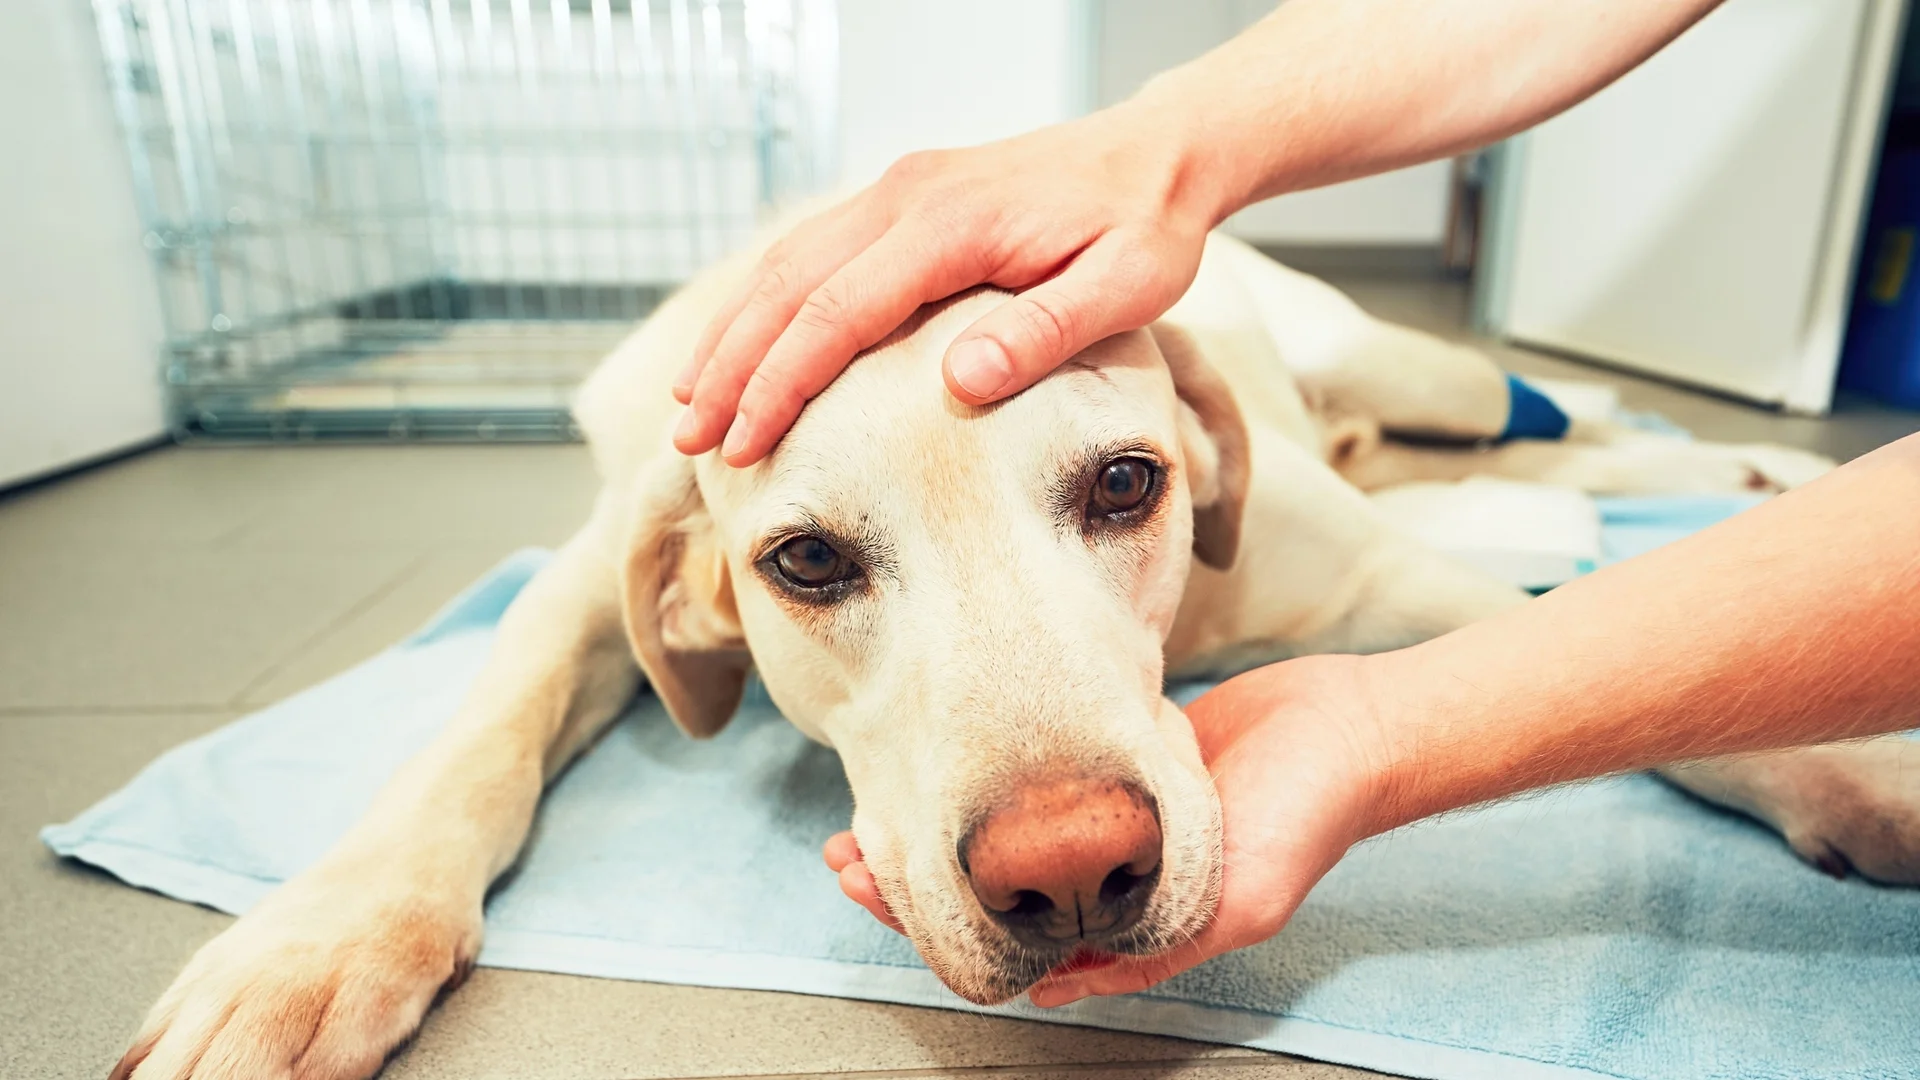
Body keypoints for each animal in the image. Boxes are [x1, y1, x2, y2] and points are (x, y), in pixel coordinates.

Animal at [112, 231, 1912, 1068]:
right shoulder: (589, 571)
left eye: (1126, 483)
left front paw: (1859, 769)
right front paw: (314, 949)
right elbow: (479, 726)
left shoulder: (1389, 575)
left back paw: (1737, 455)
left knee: (1541, 421)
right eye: (807, 560)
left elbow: (1637, 659)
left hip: (1418, 374)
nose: (1071, 872)